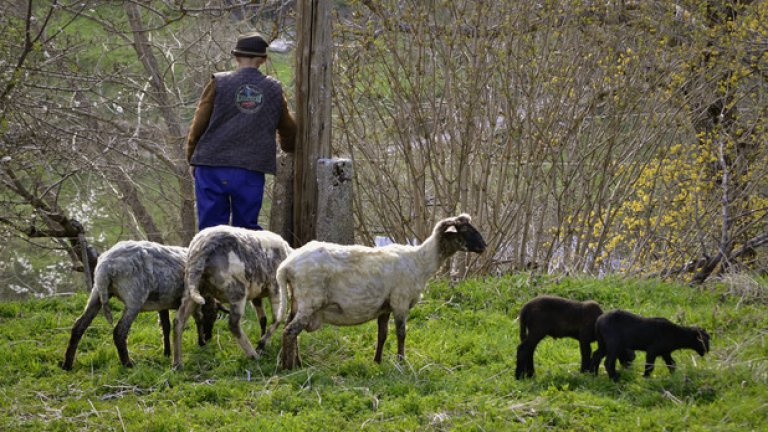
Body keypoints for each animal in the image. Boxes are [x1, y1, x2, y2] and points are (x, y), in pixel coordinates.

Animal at [59, 241, 216, 370]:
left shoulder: (162, 303)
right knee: (119, 331)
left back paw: (67, 364)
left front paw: (167, 352)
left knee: (78, 326)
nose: (209, 337)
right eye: (214, 316)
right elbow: (198, 319)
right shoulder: (192, 301)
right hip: (134, 297)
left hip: (97, 293)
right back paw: (128, 364)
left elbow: (165, 326)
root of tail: (105, 266)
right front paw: (201, 342)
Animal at [171, 226, 292, 368]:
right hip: (237, 290)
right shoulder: (275, 288)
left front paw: (263, 341)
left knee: (178, 320)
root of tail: (202, 248)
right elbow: (278, 318)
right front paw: (261, 345)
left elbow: (263, 319)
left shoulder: (256, 294)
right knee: (233, 324)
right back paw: (253, 355)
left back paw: (177, 363)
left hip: (192, 288)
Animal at [280, 214, 488, 370]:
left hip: (297, 300)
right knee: (290, 331)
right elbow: (401, 333)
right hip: (310, 300)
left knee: (290, 329)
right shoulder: (400, 301)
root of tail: (287, 266)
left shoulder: (385, 307)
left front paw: (377, 361)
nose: (484, 246)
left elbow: (382, 334)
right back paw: (289, 368)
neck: (420, 261)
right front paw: (401, 362)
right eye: (465, 230)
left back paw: (295, 363)